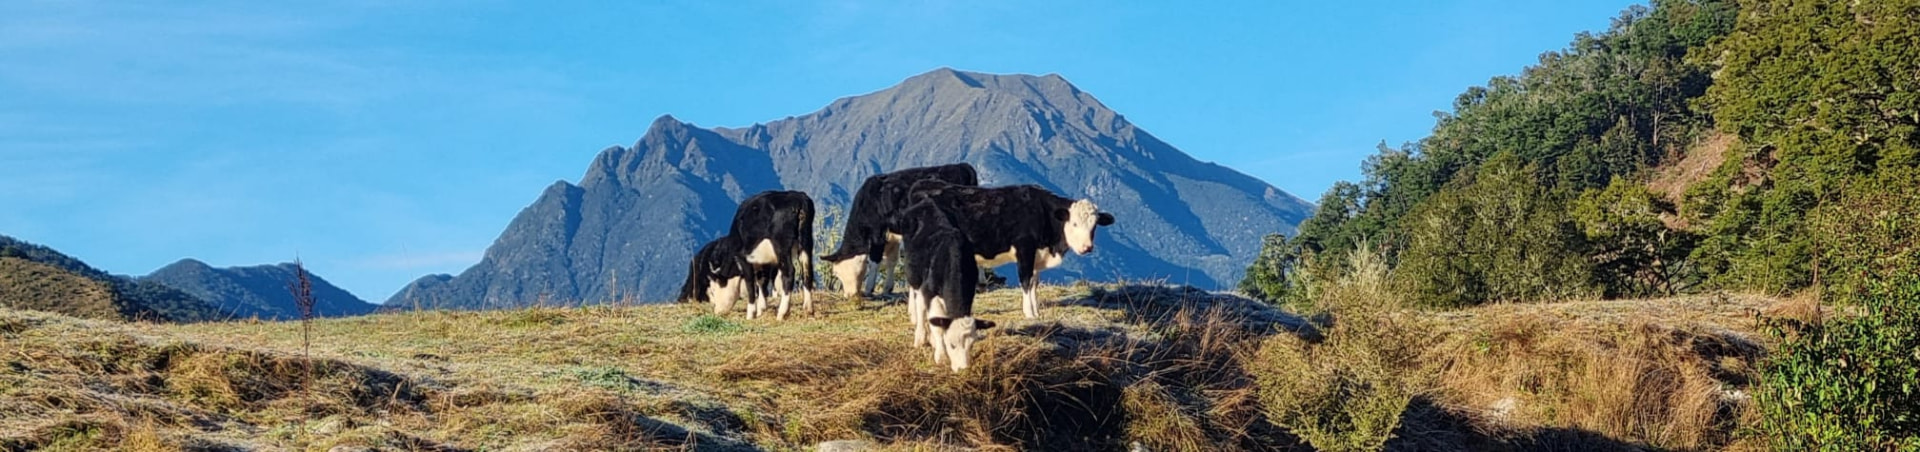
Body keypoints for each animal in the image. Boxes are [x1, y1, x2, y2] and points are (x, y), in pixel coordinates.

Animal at [677, 190, 817, 319]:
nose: (717, 311)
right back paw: (808, 308)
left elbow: (751, 283)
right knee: (807, 271)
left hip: (782, 246)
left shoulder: (744, 258)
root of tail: (798, 199)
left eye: (713, 290)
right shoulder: (763, 261)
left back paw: (782, 313)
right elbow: (761, 281)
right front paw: (761, 309)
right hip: (806, 242)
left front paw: (751, 313)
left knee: (789, 273)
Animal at [821, 163, 979, 299]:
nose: (848, 295)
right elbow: (892, 258)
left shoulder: (878, 230)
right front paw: (887, 288)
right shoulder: (892, 233)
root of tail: (963, 166)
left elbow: (875, 258)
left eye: (837, 273)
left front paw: (869, 289)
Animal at [895, 180, 1115, 319]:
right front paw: (1029, 314)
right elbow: (1025, 281)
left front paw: (1036, 311)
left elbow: (1034, 283)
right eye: (1074, 223)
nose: (1087, 248)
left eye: (1094, 225)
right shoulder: (1024, 248)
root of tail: (921, 186)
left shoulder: (1036, 255)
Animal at [896, 199, 997, 372]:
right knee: (918, 300)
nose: (963, 369)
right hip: (913, 274)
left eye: (972, 345)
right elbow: (937, 326)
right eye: (952, 344)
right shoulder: (930, 291)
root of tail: (926, 201)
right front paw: (941, 356)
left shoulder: (969, 291)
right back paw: (919, 334)